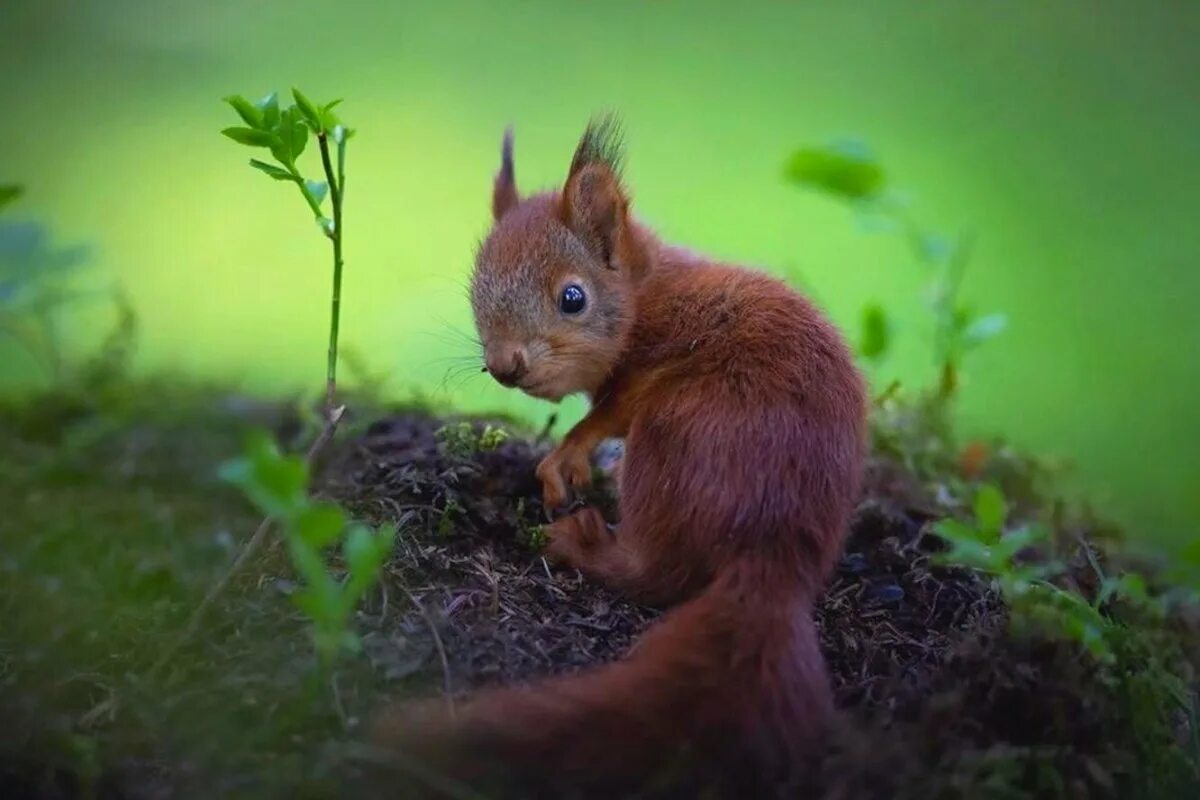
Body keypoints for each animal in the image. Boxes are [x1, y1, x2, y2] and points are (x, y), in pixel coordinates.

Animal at [369, 118, 868, 800]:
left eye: (573, 298)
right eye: (476, 290)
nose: (504, 365)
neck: (645, 289)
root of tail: (774, 549)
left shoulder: (649, 366)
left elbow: (604, 417)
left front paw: (563, 460)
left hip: (673, 438)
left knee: (656, 573)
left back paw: (581, 543)